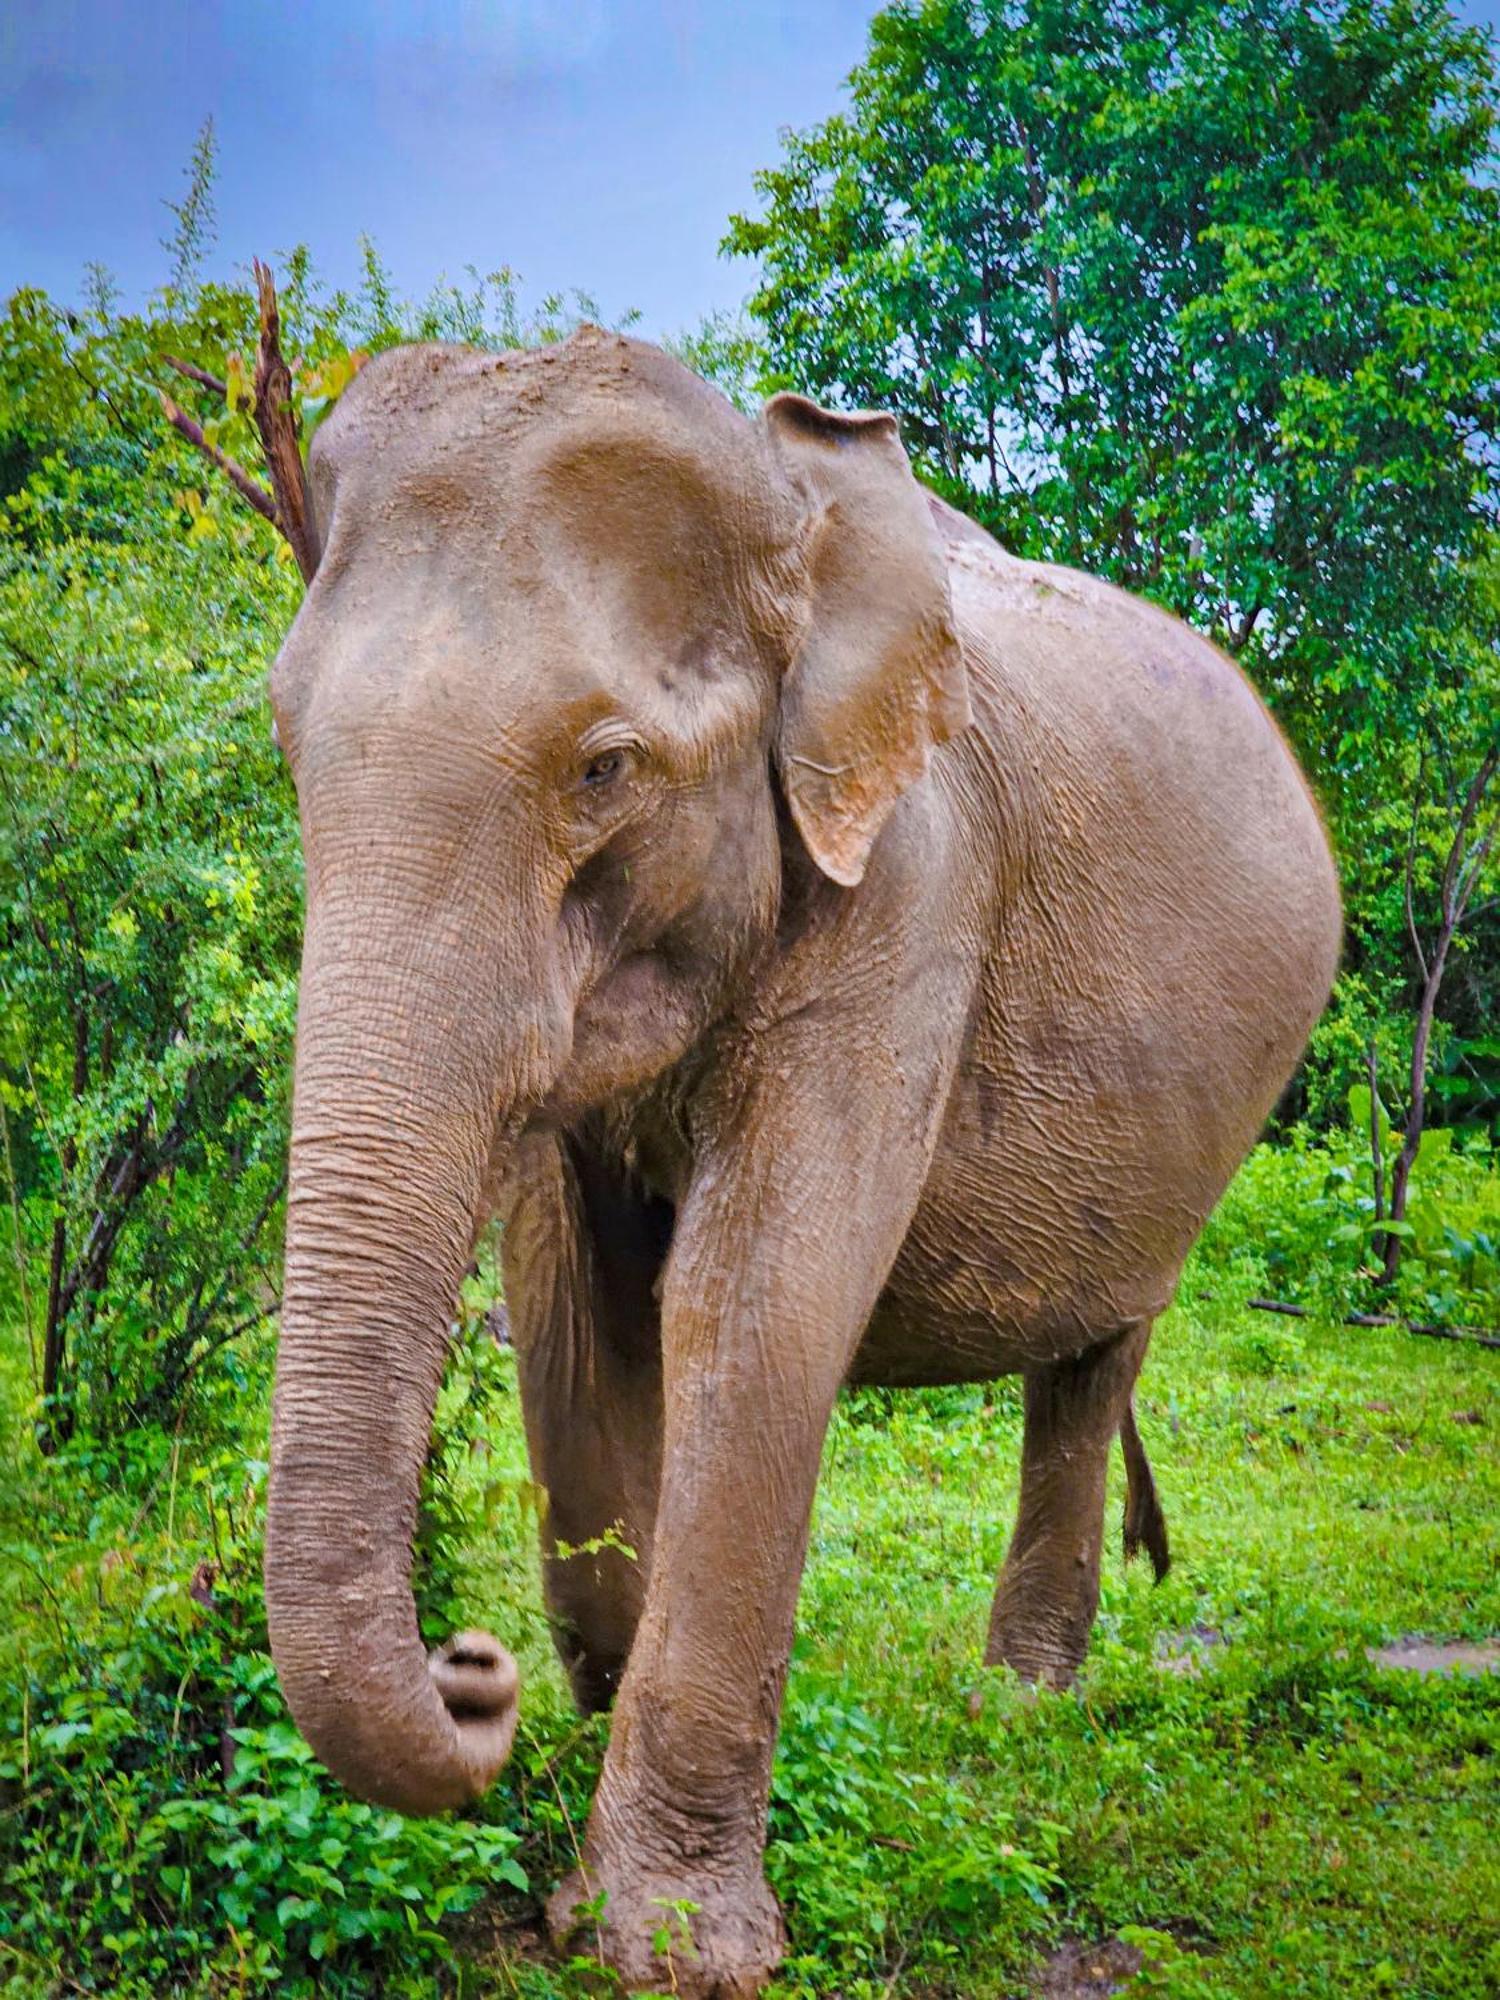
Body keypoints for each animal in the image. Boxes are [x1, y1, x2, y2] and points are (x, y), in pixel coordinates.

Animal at [264, 336, 1344, 1992]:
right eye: (285, 737)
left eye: (604, 768)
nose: (470, 1668)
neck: (792, 505)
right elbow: (577, 1308)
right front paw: (581, 1808)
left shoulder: (914, 883)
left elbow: (752, 1299)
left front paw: (669, 1949)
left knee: (1096, 1359)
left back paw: (1015, 1709)